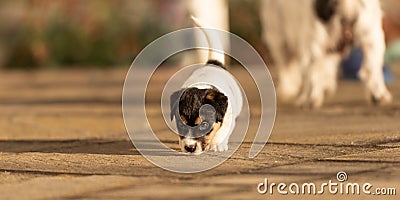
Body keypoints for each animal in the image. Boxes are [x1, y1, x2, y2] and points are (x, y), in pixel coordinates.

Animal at [260, 0, 392, 108]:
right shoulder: (311, 42)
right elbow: (312, 70)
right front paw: (310, 98)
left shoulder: (371, 37)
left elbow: (372, 67)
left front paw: (378, 95)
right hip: (278, 35)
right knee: (287, 63)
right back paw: (287, 89)